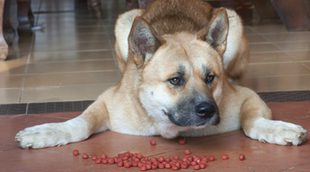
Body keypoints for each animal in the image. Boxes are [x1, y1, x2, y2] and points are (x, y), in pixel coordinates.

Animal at [15, 0, 308, 148]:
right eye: (175, 80)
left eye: (211, 78)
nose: (208, 111)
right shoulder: (106, 102)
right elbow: (80, 123)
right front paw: (48, 132)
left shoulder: (248, 98)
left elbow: (251, 121)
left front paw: (275, 128)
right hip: (124, 23)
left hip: (235, 24)